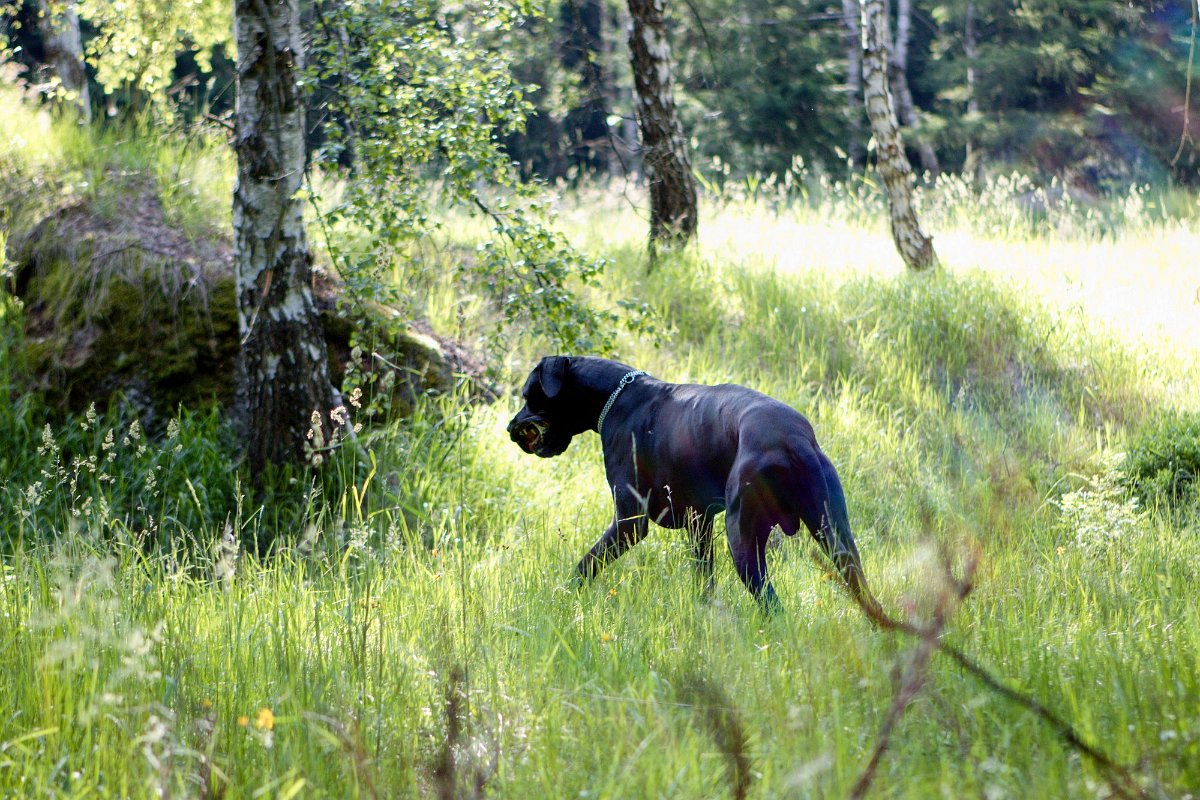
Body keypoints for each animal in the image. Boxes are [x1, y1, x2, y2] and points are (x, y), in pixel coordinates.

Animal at [506, 357, 873, 614]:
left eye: (527, 395)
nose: (510, 427)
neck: (617, 395)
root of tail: (793, 441)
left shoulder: (629, 522)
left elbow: (585, 564)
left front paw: (563, 596)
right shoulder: (699, 524)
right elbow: (705, 580)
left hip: (743, 539)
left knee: (771, 604)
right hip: (837, 537)